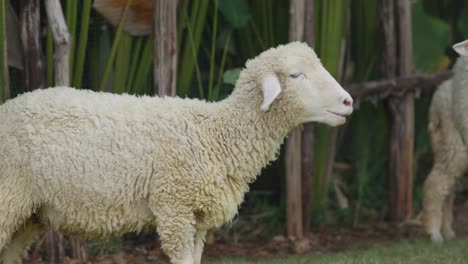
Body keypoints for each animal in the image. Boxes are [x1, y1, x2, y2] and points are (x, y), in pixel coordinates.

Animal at [0, 42, 352, 262]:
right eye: (296, 75)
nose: (348, 101)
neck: (215, 136)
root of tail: (8, 105)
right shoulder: (174, 208)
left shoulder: (198, 218)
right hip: (8, 197)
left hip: (30, 215)